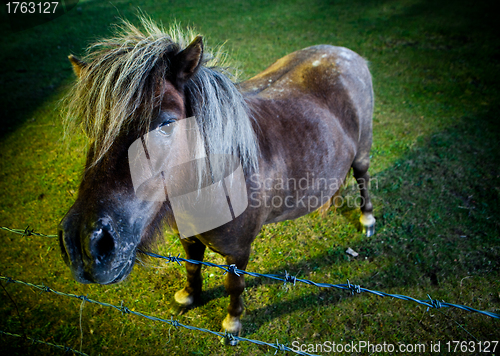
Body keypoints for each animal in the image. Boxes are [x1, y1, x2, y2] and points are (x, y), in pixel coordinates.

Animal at [59, 17, 376, 342]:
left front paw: (232, 323)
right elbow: (192, 267)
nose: (83, 244)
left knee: (362, 178)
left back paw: (366, 220)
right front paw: (188, 296)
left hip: (363, 152)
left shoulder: (239, 252)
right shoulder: (188, 237)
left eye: (166, 124)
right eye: (91, 127)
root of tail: (346, 53)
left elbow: (234, 286)